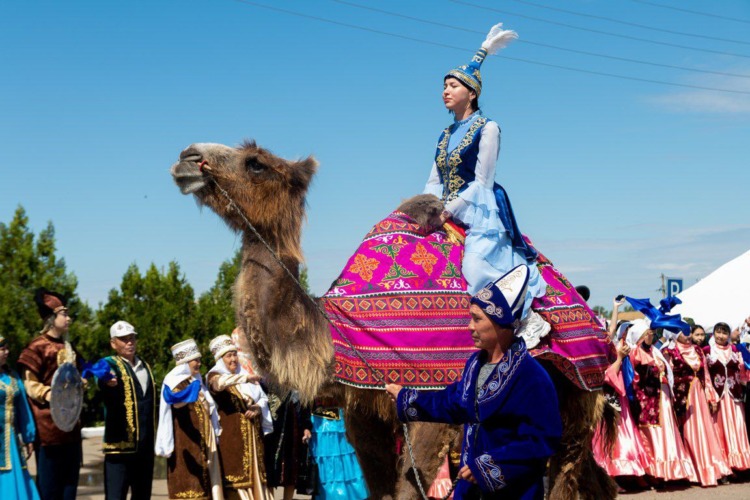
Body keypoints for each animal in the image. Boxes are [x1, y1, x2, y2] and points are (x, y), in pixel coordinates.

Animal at [170, 141, 616, 500]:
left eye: (256, 162)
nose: (187, 156)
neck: (338, 334)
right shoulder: (362, 409)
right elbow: (379, 485)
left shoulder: (434, 395)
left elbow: (410, 483)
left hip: (580, 393)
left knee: (565, 473)